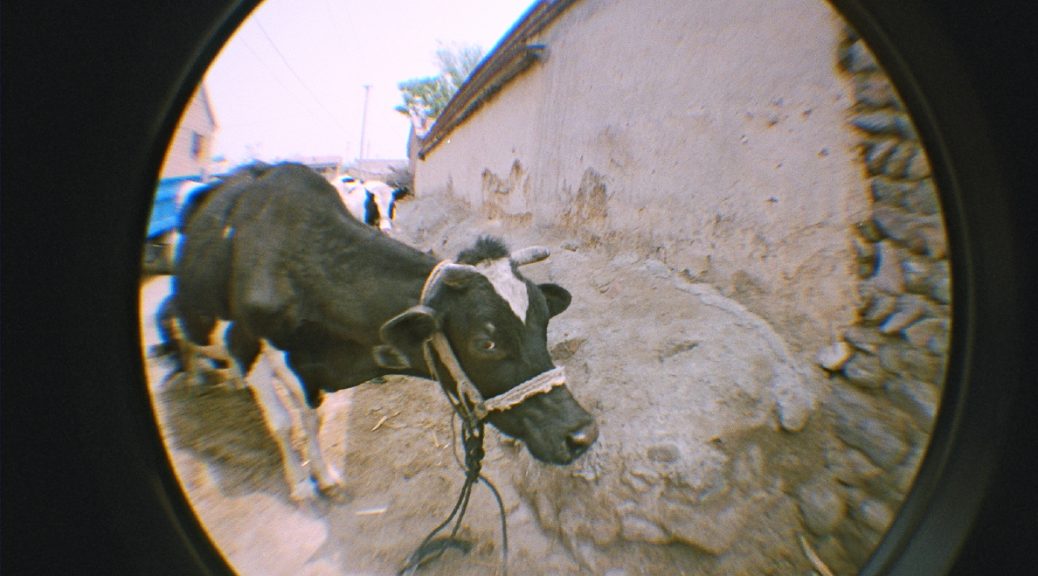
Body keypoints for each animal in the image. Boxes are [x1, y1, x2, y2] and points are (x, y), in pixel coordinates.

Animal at [169, 160, 593, 500]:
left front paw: (325, 477)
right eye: (485, 342)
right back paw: (199, 379)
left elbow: (312, 419)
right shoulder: (249, 346)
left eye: (544, 321)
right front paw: (303, 485)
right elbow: (284, 422)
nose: (581, 434)